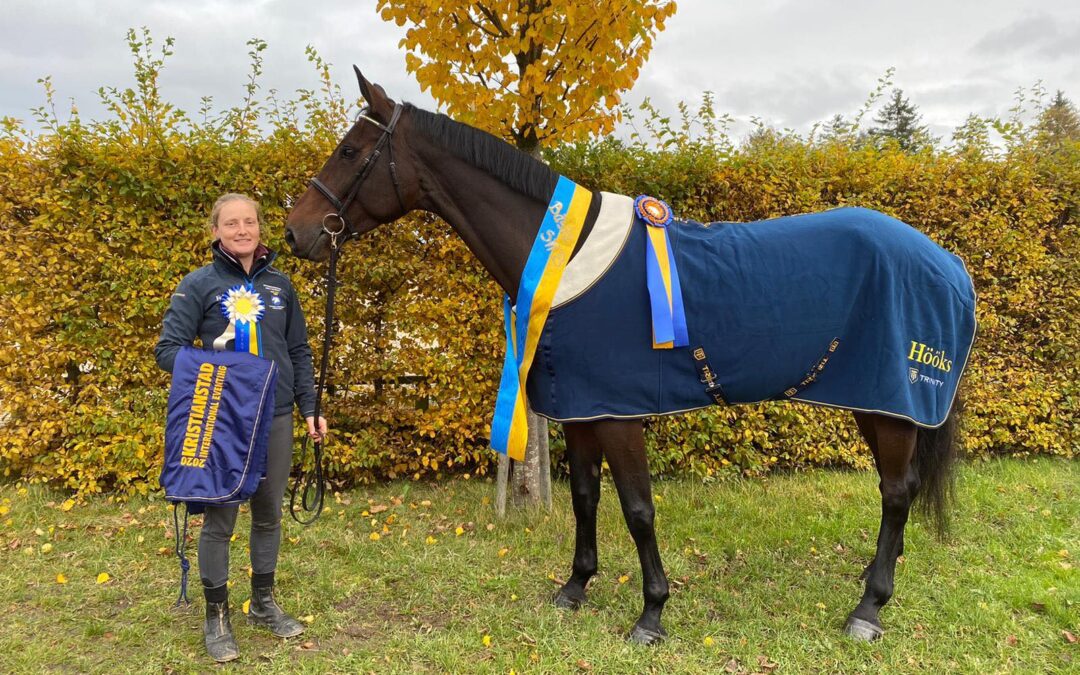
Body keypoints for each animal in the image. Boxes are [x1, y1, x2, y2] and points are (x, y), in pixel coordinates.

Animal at [282, 68, 976, 643]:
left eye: (350, 152)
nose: (296, 231)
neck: (563, 259)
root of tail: (947, 264)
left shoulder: (618, 415)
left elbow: (638, 511)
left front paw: (651, 614)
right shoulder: (583, 409)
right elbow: (586, 498)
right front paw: (575, 588)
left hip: (890, 400)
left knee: (896, 492)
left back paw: (868, 608)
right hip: (872, 399)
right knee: (899, 489)